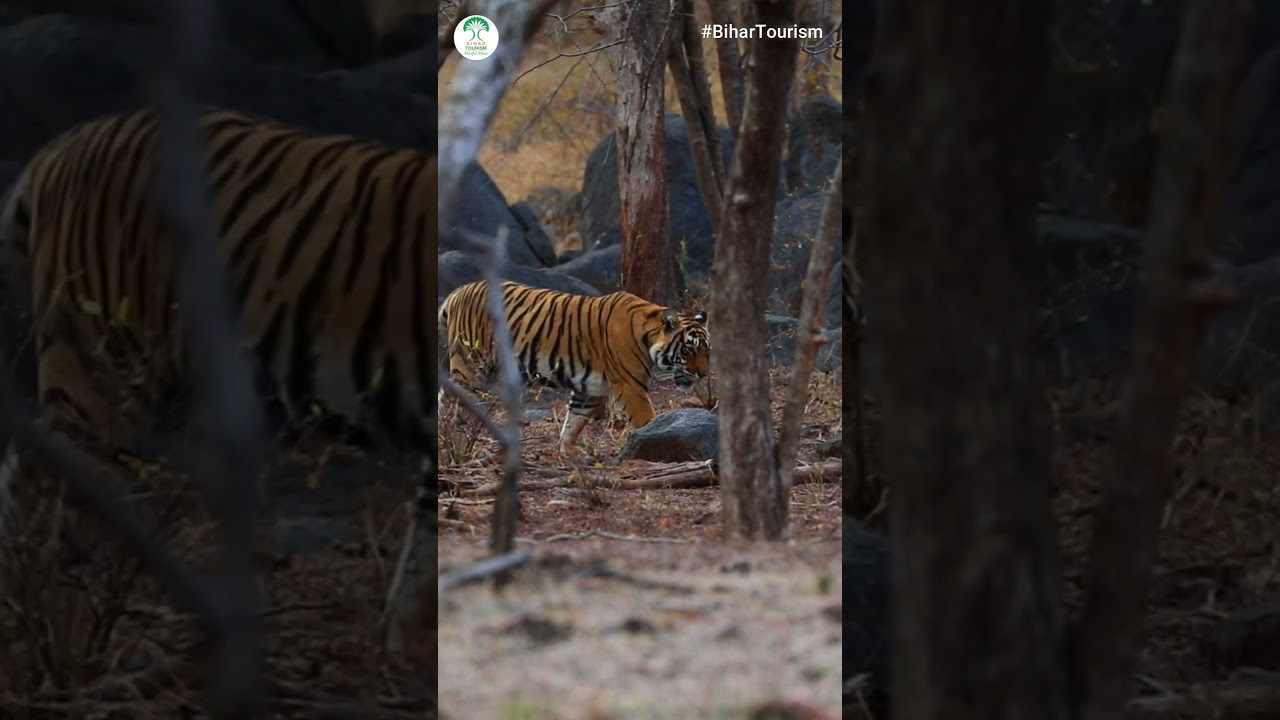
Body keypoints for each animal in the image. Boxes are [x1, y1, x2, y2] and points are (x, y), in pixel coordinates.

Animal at [437, 280, 711, 455]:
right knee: (454, 399)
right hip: (470, 365)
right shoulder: (630, 386)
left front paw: (567, 451)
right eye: (689, 350)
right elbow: (646, 419)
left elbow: (574, 421)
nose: (703, 374)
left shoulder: (590, 388)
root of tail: (457, 292)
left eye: (707, 351)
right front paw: (654, 441)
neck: (648, 334)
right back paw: (453, 439)